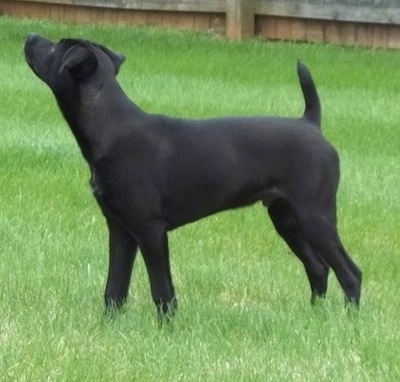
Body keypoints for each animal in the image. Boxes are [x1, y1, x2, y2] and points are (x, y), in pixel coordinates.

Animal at [25, 34, 362, 318]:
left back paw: (350, 320)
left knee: (350, 272)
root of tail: (311, 123)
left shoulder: (150, 230)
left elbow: (162, 290)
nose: (30, 37)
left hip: (315, 216)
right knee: (318, 267)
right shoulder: (120, 230)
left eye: (56, 48)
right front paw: (109, 327)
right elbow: (114, 290)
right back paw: (314, 316)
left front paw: (167, 328)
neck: (111, 126)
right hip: (286, 218)